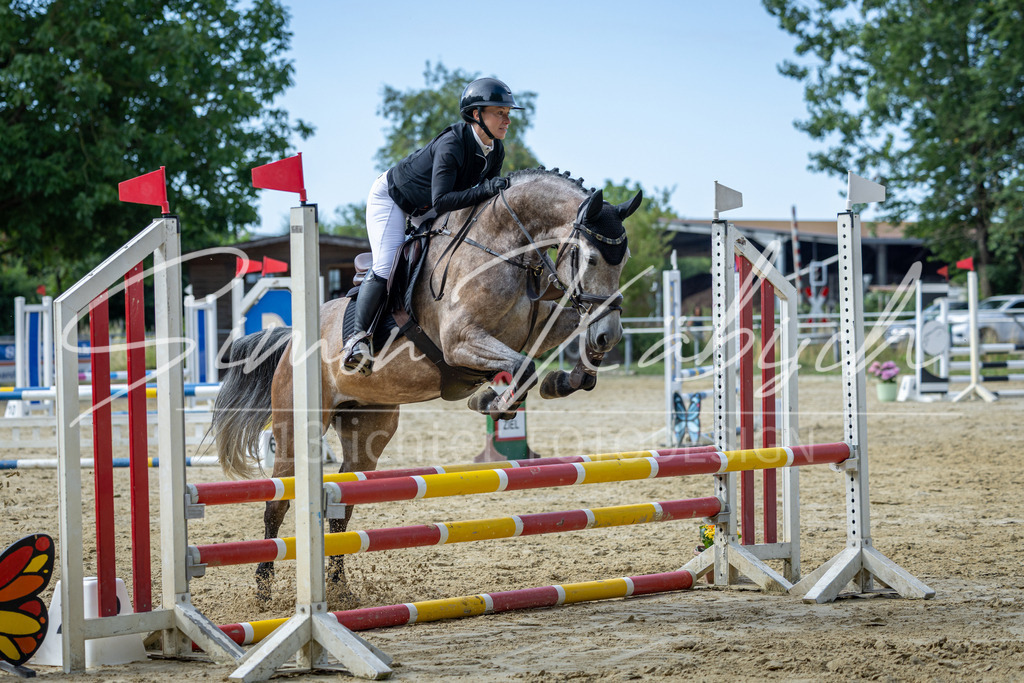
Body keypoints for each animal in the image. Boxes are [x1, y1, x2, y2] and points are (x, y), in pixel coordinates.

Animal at [212, 167, 641, 604]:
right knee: (278, 503)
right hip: (295, 430)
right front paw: (490, 401)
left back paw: (340, 589)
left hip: (367, 429)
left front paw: (567, 377)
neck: (503, 249)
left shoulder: (539, 324)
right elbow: (523, 369)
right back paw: (265, 592)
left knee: (342, 507)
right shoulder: (460, 341)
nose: (608, 334)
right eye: (590, 257)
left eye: (623, 259)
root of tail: (291, 340)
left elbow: (560, 351)